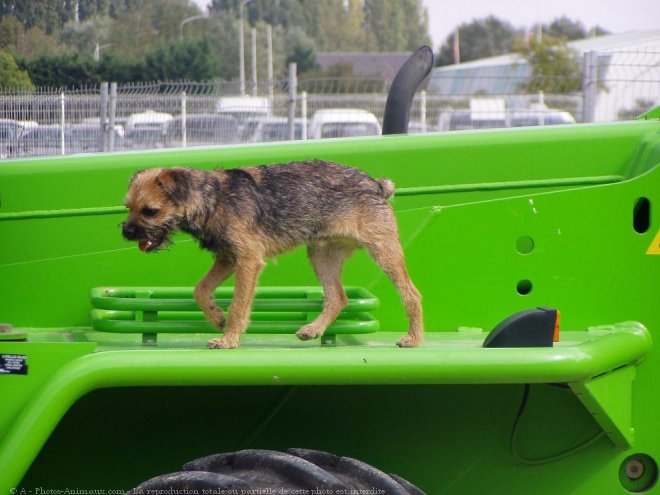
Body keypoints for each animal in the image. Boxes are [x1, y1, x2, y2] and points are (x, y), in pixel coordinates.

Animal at [123, 161, 422, 350]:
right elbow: (200, 289)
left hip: (384, 251)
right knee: (338, 297)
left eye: (150, 211)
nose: (126, 231)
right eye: (128, 207)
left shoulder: (247, 260)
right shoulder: (228, 258)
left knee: (411, 294)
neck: (213, 198)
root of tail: (376, 184)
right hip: (321, 255)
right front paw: (216, 316)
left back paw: (413, 339)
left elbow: (239, 304)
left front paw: (229, 340)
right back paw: (314, 329)